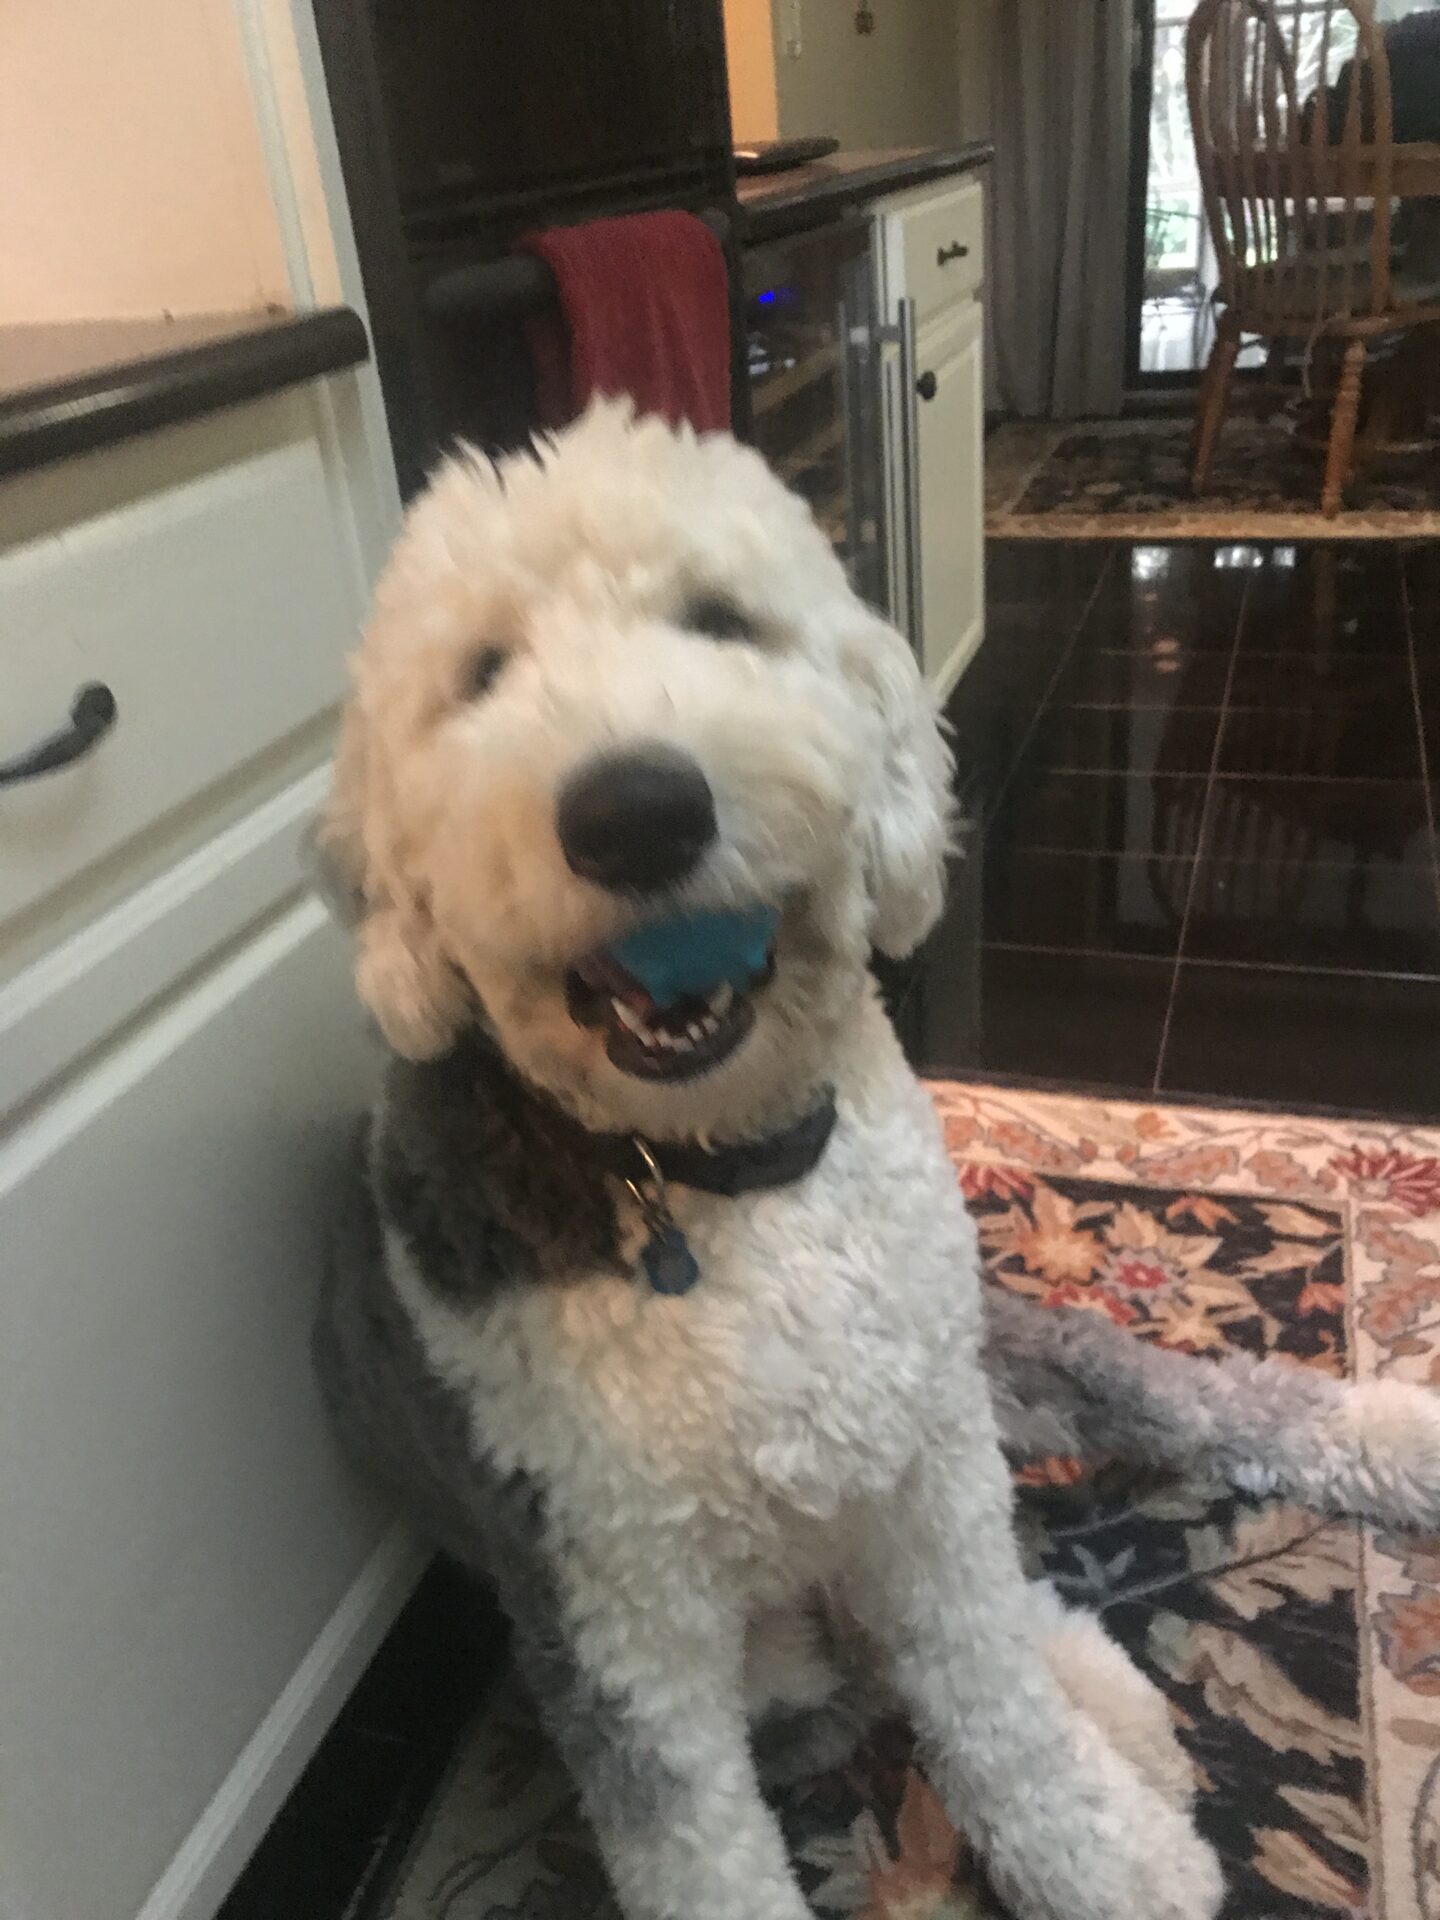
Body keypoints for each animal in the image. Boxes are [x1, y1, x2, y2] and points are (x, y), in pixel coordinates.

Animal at [320, 401, 1440, 1920]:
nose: (635, 810)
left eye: (721, 620)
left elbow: (992, 1695)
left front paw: (1100, 1854)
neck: (719, 1180)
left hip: (982, 1353)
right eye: (482, 674)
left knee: (1182, 1398)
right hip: (791, 1642)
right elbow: (709, 1852)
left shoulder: (926, 1464)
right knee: (874, 1660)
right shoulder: (616, 1616)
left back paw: (1382, 1454)